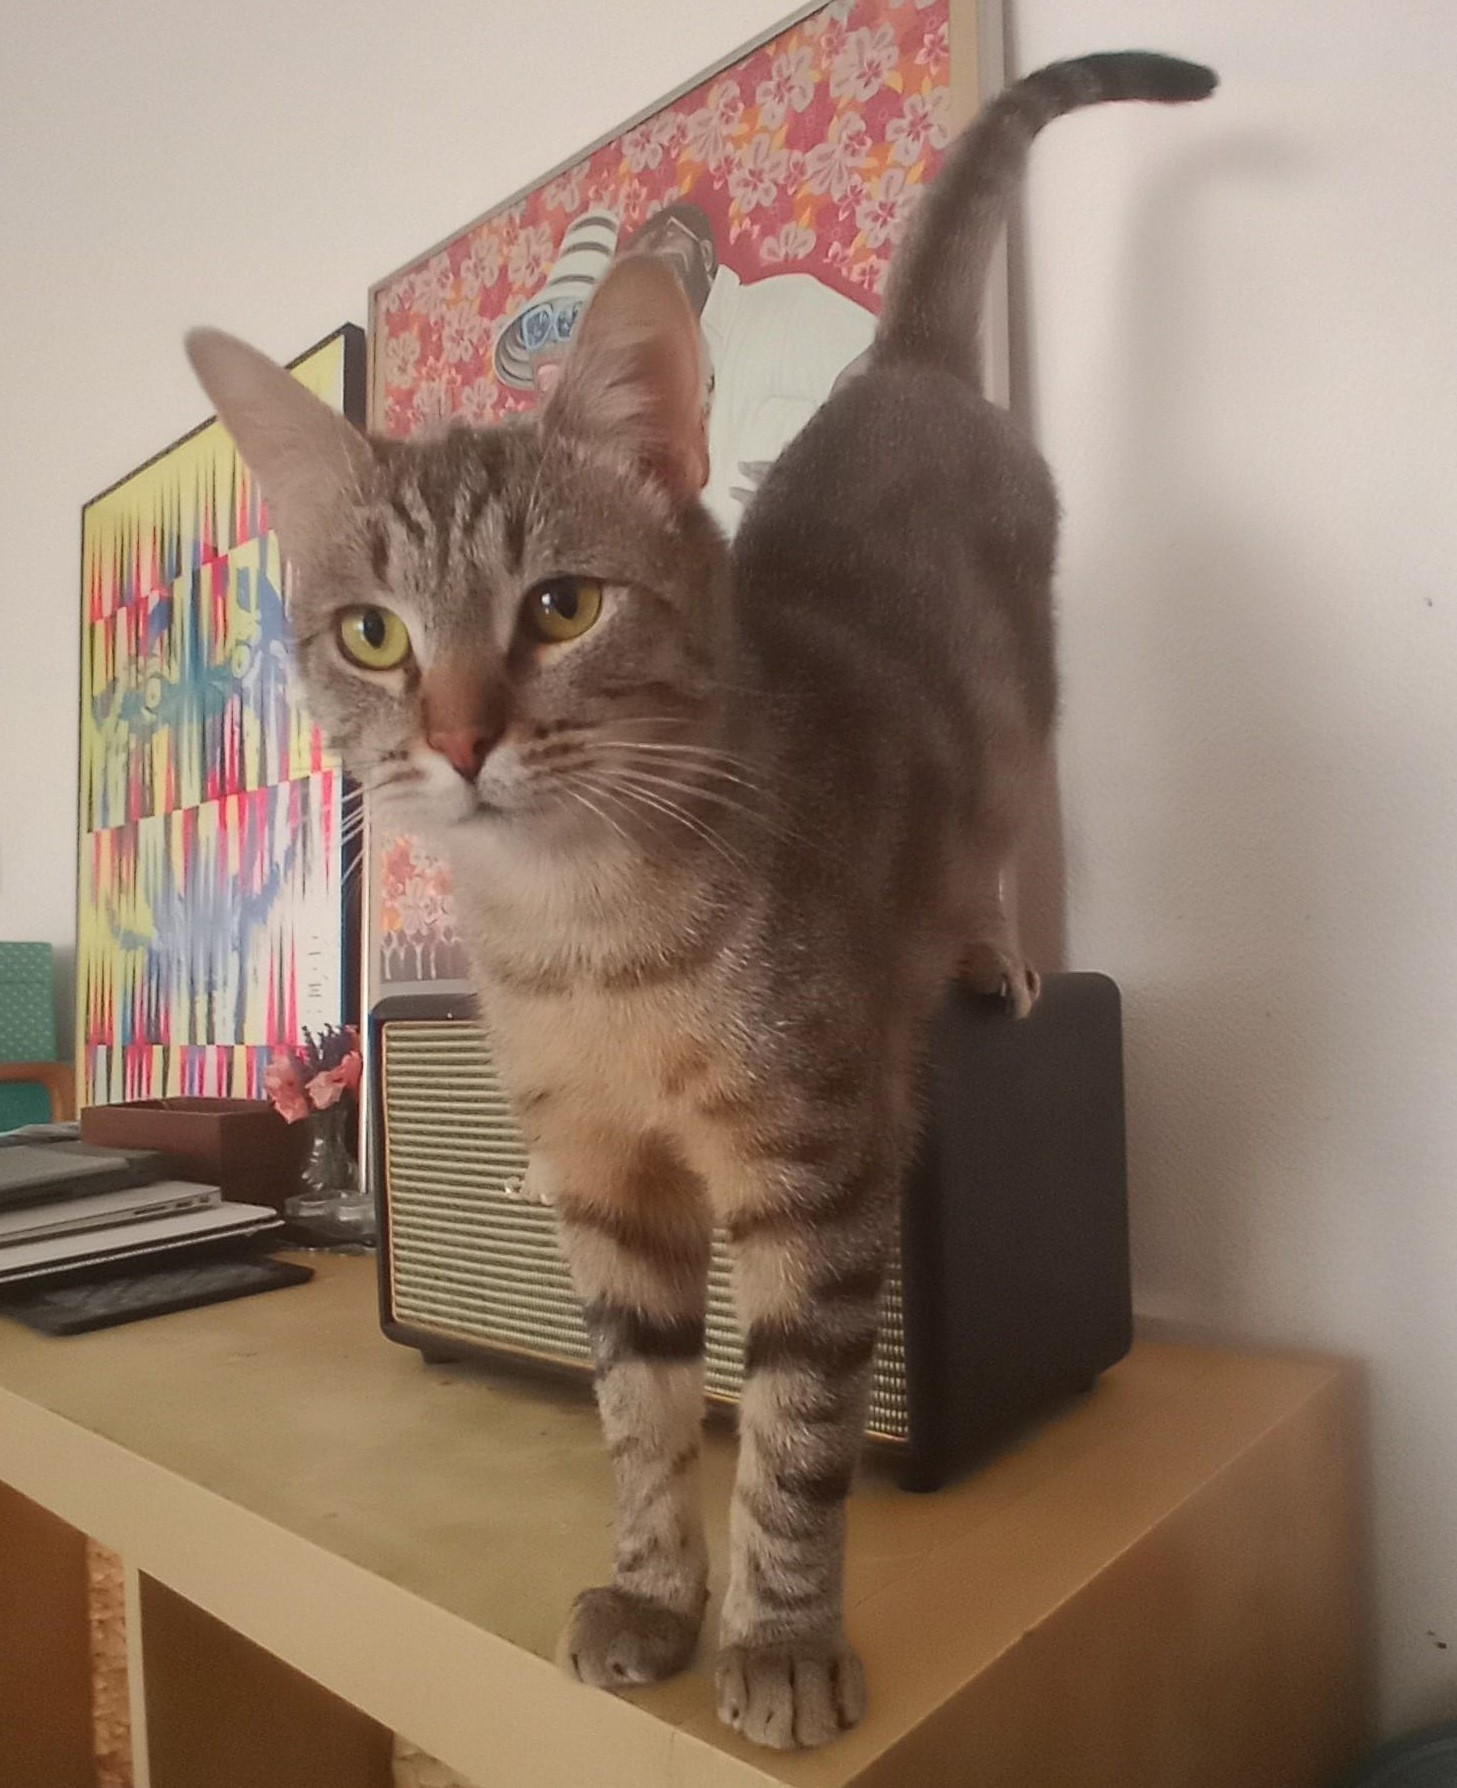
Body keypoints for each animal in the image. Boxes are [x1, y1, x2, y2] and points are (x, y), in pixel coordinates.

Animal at [187, 50, 1216, 1750]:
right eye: (373, 635)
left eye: (562, 607)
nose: (457, 740)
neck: (584, 937)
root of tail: (899, 364)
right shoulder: (605, 1190)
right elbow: (643, 1412)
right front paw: (657, 1593)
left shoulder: (819, 1173)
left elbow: (792, 1430)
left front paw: (782, 1636)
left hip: (1022, 719)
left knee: (1004, 834)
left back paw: (991, 950)